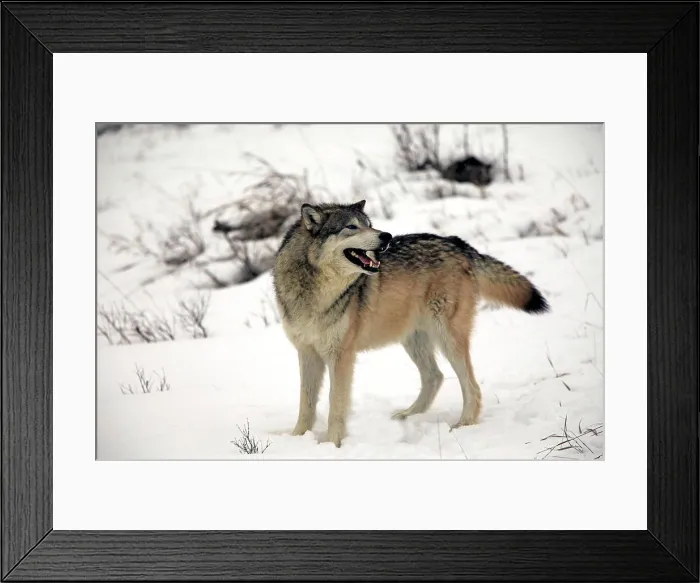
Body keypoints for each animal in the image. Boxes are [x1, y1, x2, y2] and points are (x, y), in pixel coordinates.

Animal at [272, 200, 549, 447]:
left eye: (368, 225)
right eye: (351, 227)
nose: (386, 236)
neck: (313, 292)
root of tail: (458, 243)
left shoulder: (341, 356)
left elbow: (335, 404)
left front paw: (332, 444)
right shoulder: (307, 353)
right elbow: (306, 403)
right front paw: (297, 439)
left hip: (447, 338)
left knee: (471, 386)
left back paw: (463, 425)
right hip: (414, 340)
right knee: (434, 376)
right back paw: (408, 415)